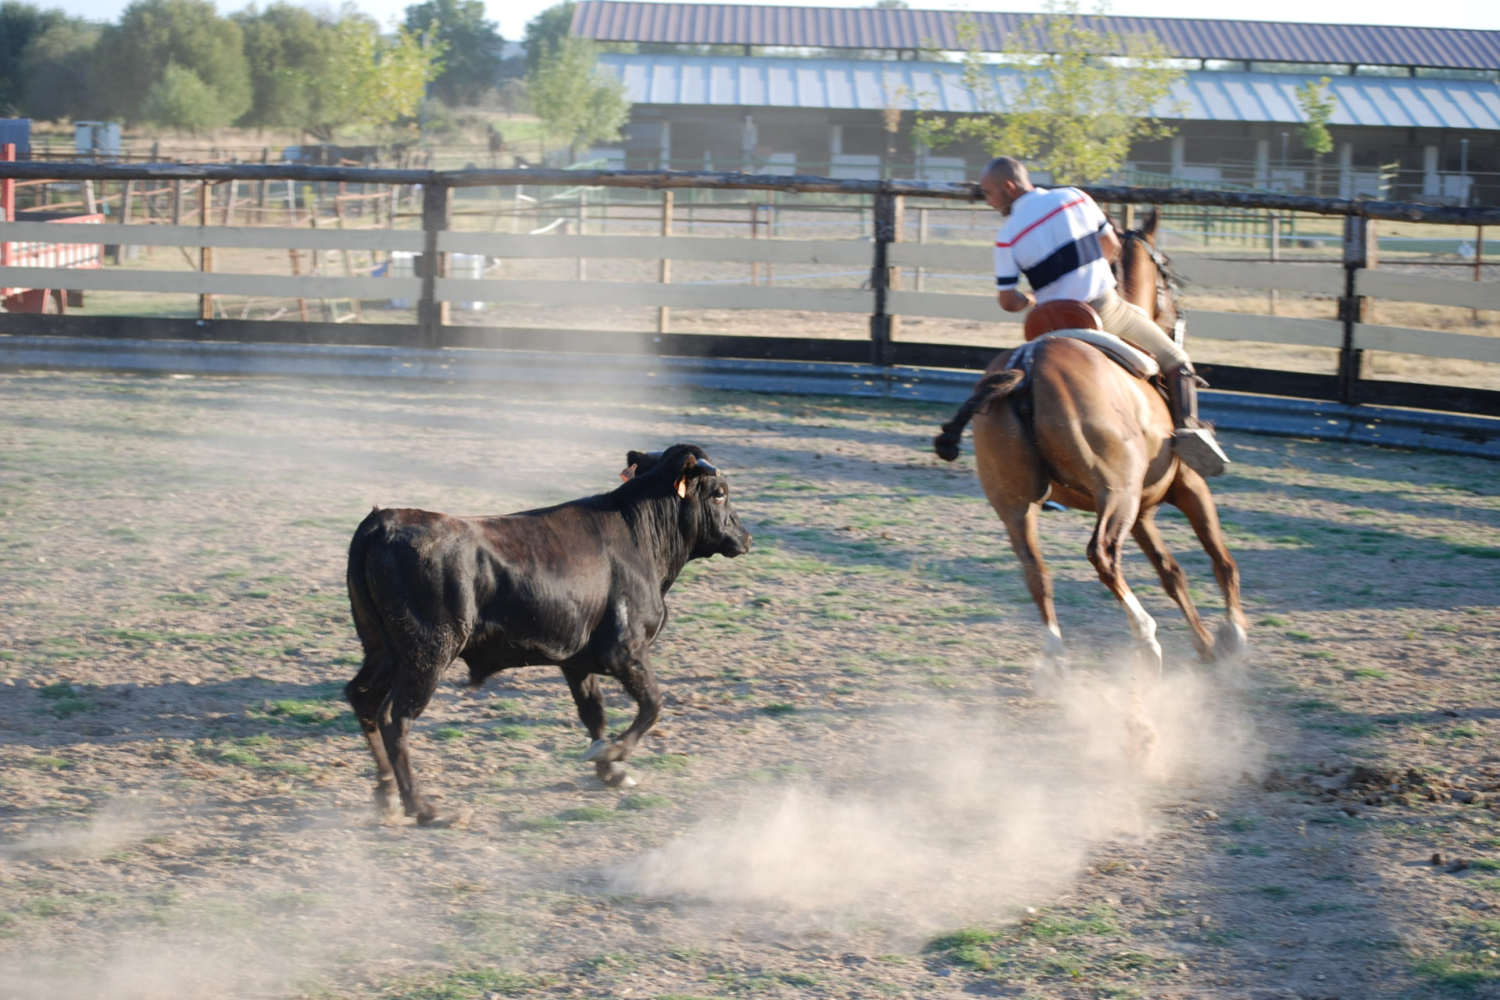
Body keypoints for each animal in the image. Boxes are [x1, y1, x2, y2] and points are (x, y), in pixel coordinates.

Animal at [936, 214, 1242, 677]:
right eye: (1166, 272)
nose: (1178, 317)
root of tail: (1025, 369)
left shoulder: (1143, 512)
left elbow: (1171, 573)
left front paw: (1206, 644)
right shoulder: (1187, 487)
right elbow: (1220, 558)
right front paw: (1232, 635)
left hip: (1016, 505)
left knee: (1035, 570)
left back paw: (1056, 655)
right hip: (1116, 493)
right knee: (1101, 555)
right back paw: (1146, 637)